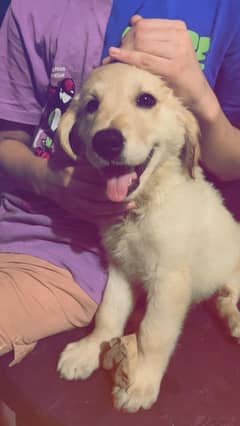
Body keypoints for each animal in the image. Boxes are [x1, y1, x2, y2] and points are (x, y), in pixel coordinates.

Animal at [56, 61, 240, 412]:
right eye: (91, 105)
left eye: (145, 100)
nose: (107, 142)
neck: (140, 210)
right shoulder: (120, 266)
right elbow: (108, 313)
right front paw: (89, 350)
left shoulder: (169, 279)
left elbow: (153, 333)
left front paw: (141, 381)